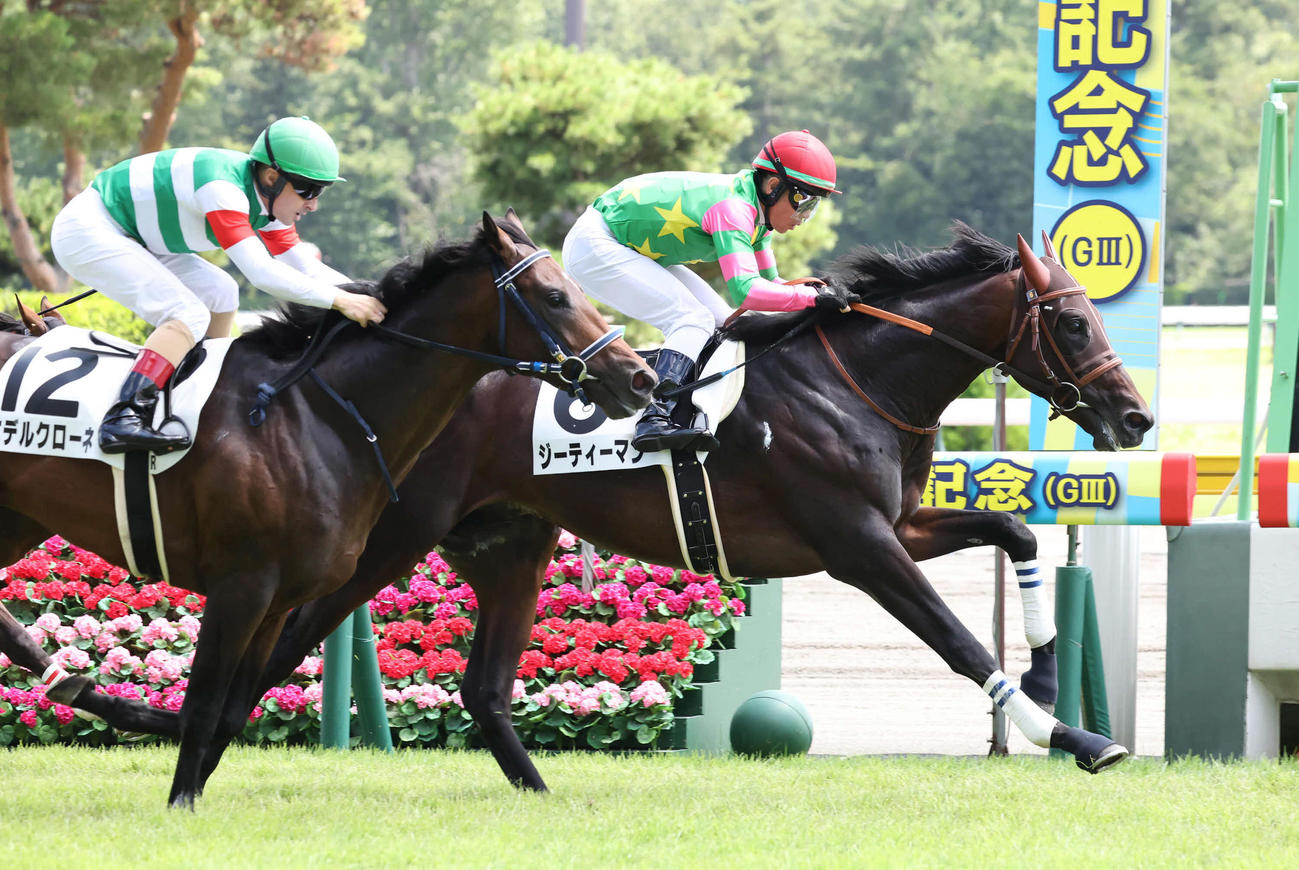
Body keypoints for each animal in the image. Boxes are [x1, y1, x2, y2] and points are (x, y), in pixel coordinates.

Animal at [0, 211, 655, 807]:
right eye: (555, 296)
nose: (640, 378)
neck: (314, 416)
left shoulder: (277, 596)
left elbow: (231, 709)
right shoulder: (241, 585)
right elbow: (204, 705)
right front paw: (181, 803)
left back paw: (70, 682)